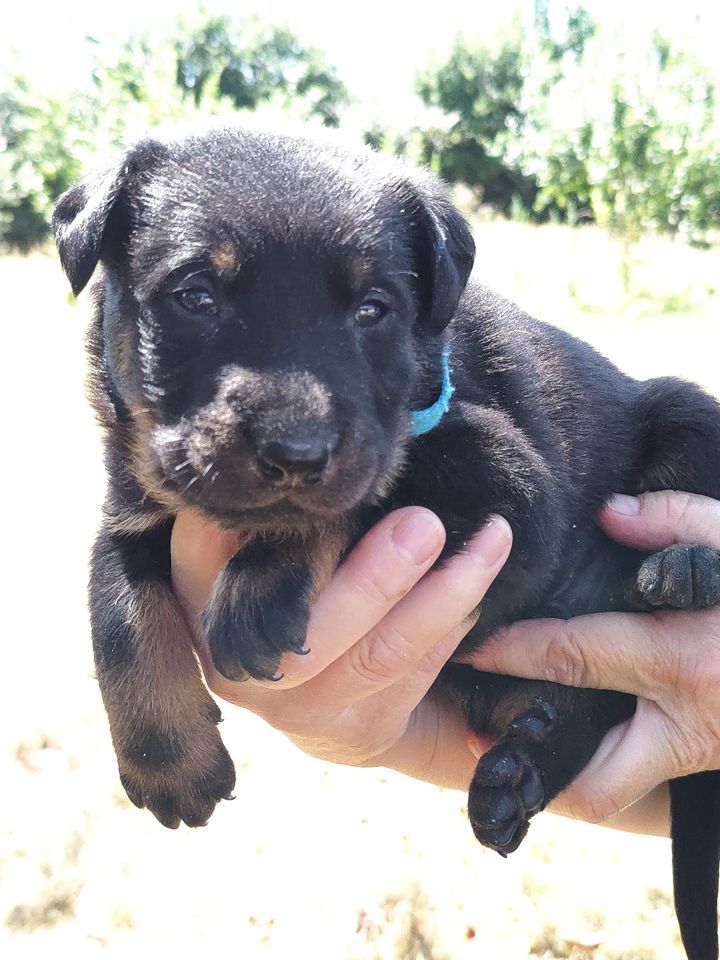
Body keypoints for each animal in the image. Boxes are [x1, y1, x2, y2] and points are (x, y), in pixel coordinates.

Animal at [54, 127, 720, 960]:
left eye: (374, 310)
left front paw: (265, 577)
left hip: (684, 414)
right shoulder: (136, 505)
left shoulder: (514, 495)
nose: (297, 453)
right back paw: (521, 771)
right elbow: (114, 607)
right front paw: (168, 759)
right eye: (195, 296)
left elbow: (361, 495)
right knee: (596, 705)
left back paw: (686, 570)